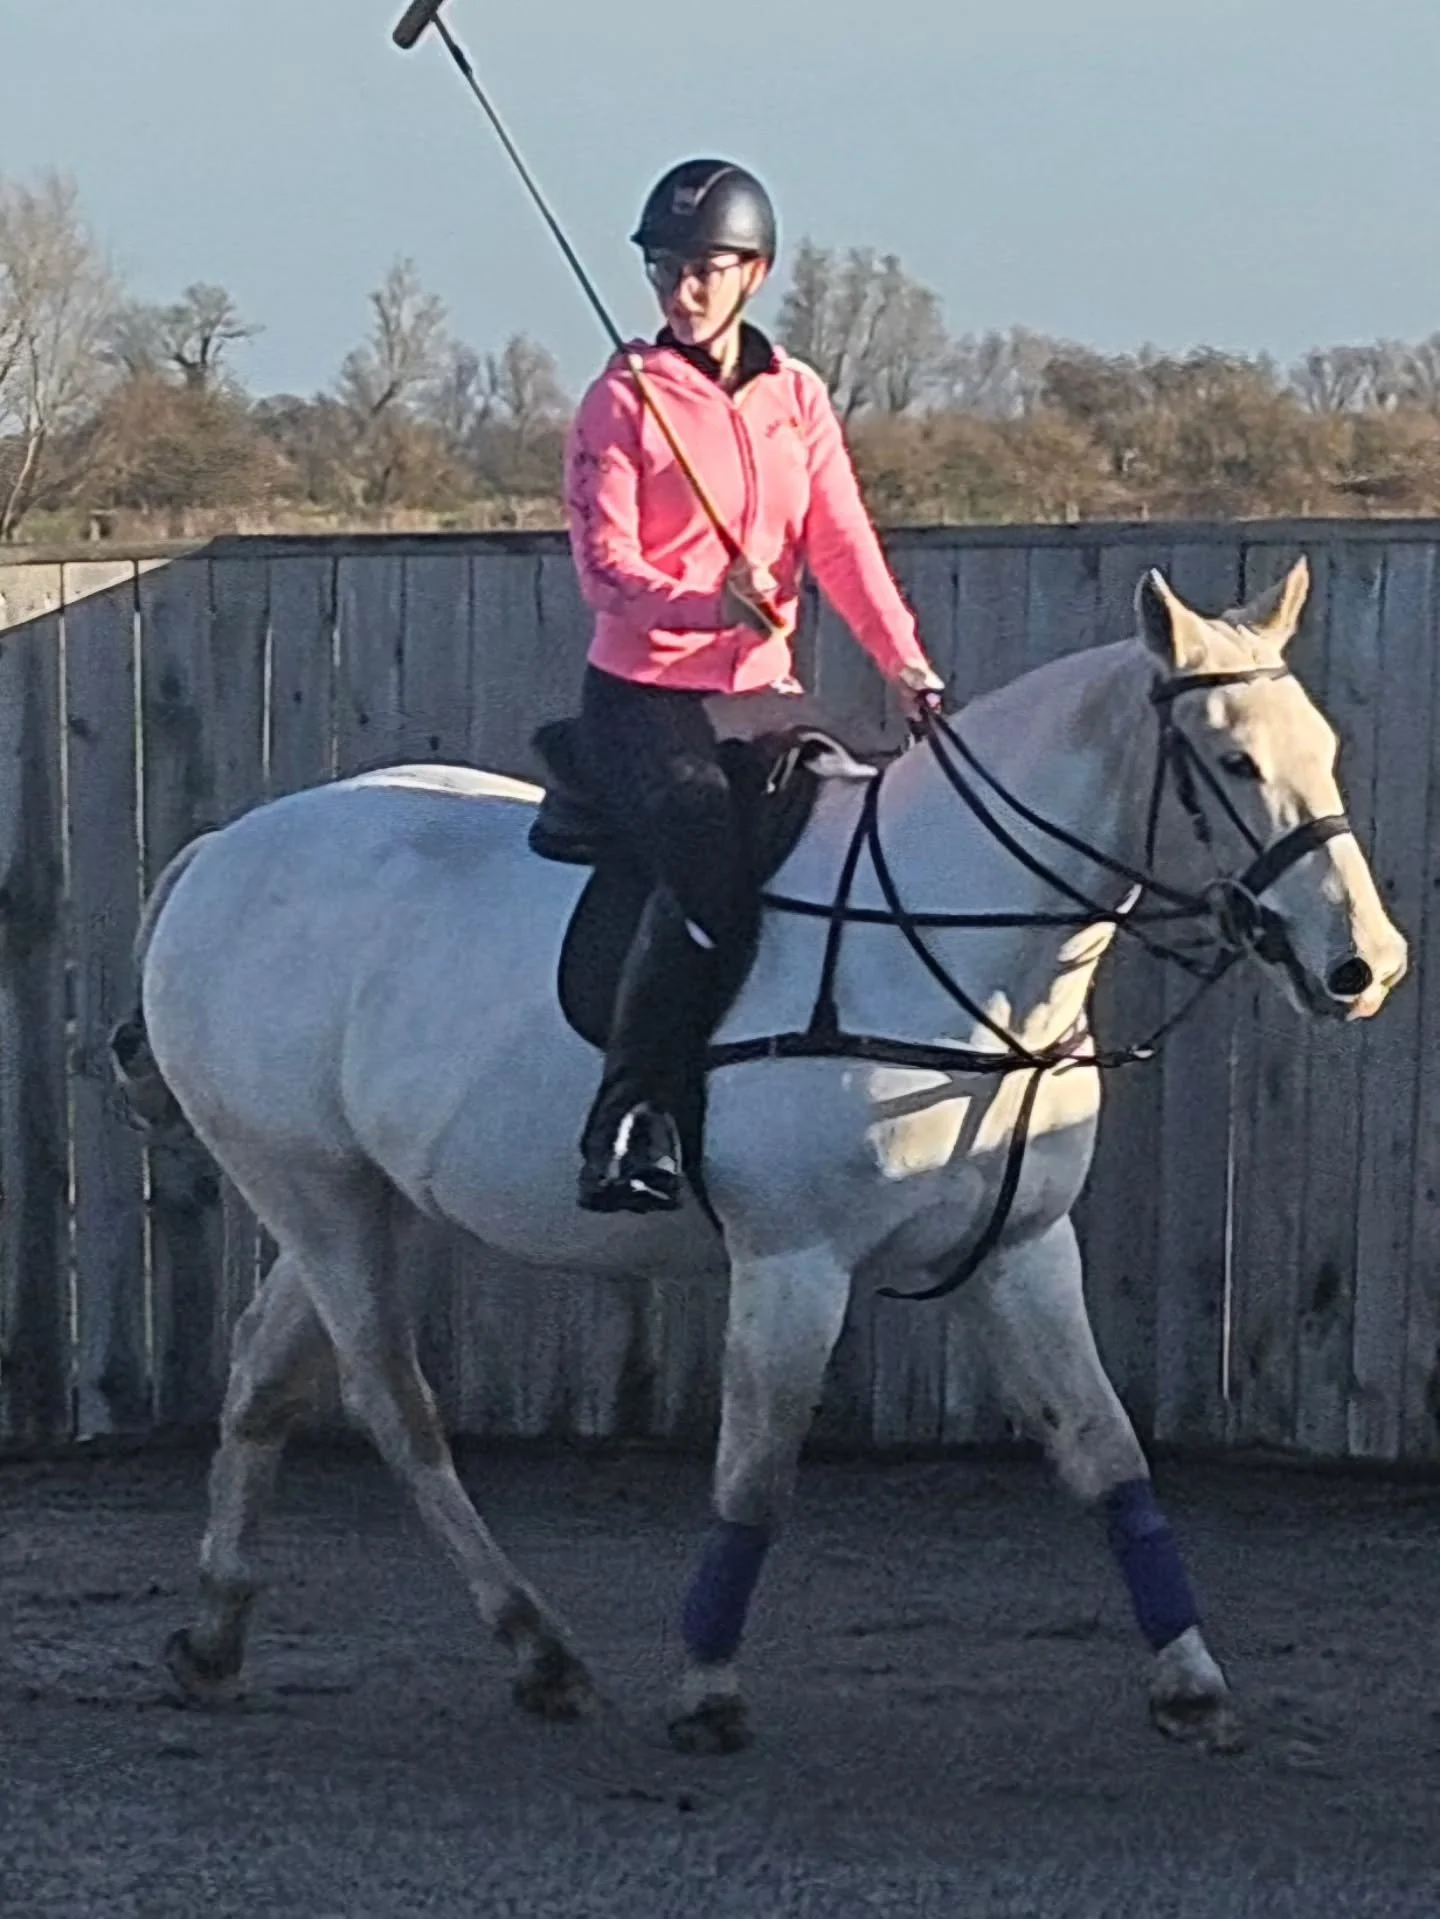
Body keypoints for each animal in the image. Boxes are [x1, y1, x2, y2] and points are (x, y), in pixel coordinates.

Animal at [119, 555, 1406, 1758]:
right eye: (1232, 762)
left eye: (1327, 746)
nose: (1365, 964)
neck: (948, 945)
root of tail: (219, 854)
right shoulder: (795, 1262)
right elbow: (756, 1470)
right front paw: (707, 1688)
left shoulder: (1023, 1252)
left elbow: (1107, 1451)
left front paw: (1192, 1682)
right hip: (316, 1194)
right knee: (394, 1402)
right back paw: (537, 1647)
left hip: (363, 1197)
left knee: (267, 1377)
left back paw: (221, 1634)